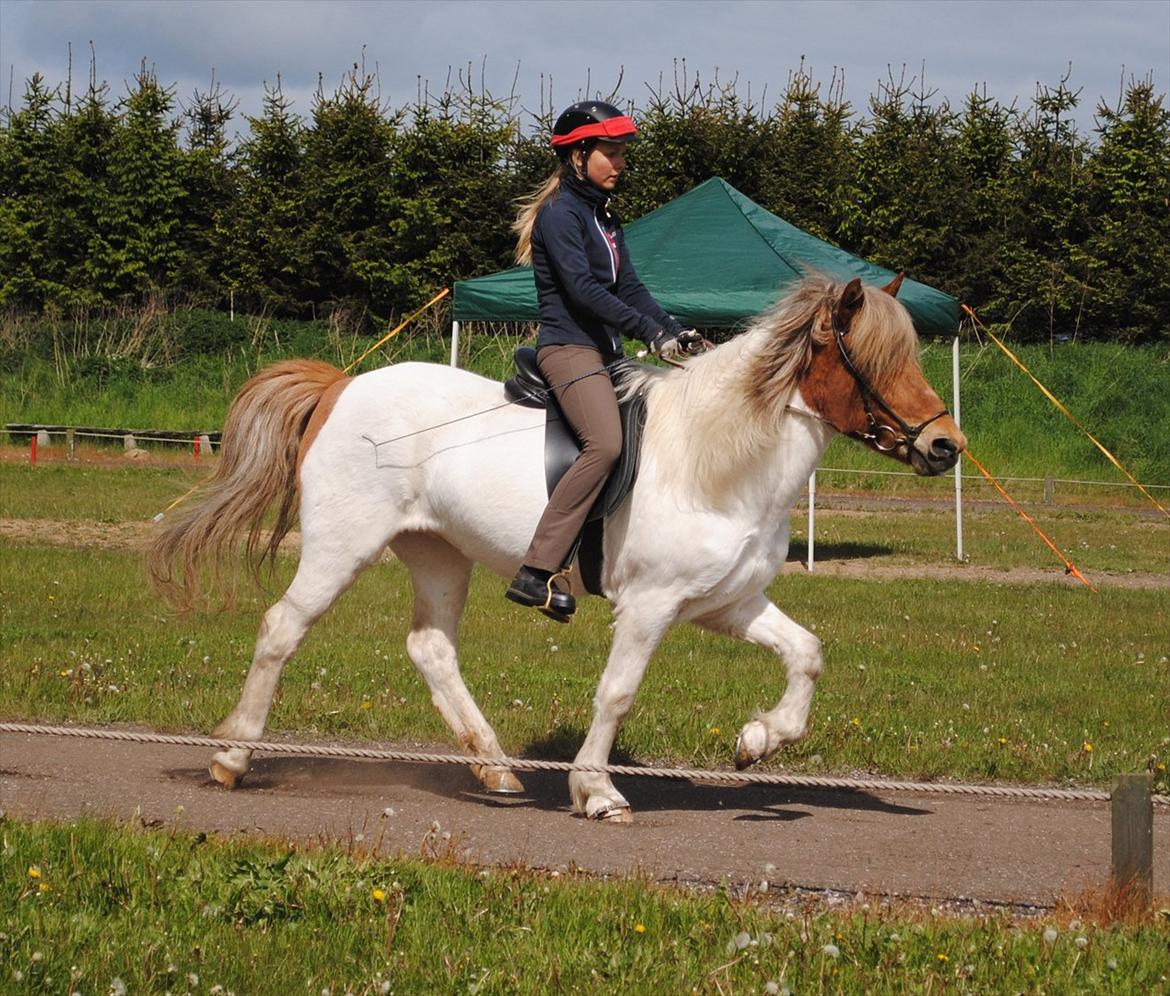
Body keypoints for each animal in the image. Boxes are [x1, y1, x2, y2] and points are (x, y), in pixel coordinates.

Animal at [150, 276, 964, 823]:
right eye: (872, 359)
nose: (945, 446)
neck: (717, 460)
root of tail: (341, 385)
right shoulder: (651, 606)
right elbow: (618, 693)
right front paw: (597, 790)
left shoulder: (727, 602)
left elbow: (808, 653)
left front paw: (758, 740)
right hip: (341, 546)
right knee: (282, 628)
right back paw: (231, 757)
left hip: (438, 553)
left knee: (431, 649)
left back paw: (496, 771)